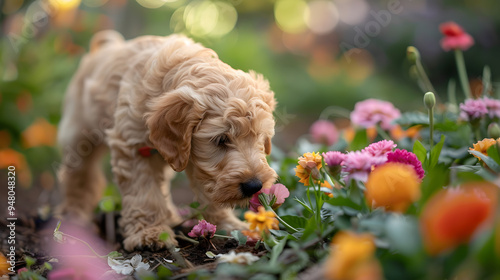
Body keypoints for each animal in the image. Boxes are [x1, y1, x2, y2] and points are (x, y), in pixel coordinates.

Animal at [58, 29, 280, 250]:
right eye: (221, 139)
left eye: (260, 137)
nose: (254, 186)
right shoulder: (132, 148)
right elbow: (144, 192)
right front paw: (150, 233)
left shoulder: (198, 162)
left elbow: (207, 192)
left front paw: (228, 225)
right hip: (79, 133)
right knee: (79, 176)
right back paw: (74, 216)